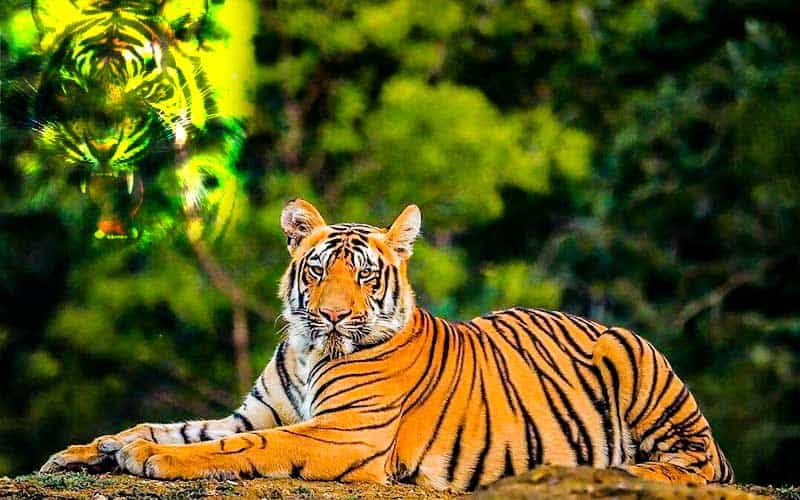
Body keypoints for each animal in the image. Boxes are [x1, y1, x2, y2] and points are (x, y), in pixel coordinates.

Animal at [40, 198, 734, 490]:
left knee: (690, 465)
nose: (331, 315)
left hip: (637, 363)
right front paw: (91, 450)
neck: (306, 351)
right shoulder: (254, 411)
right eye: (319, 271)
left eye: (366, 276)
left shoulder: (343, 434)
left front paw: (150, 460)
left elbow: (238, 447)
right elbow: (174, 426)